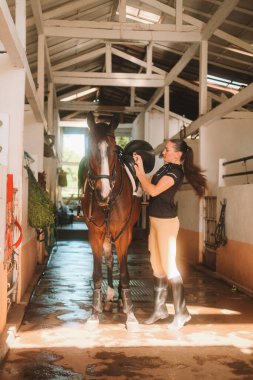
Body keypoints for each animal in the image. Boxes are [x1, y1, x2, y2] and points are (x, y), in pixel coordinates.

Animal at [80, 112, 141, 330]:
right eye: (90, 147)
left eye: (114, 149)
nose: (103, 193)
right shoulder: (95, 234)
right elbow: (98, 274)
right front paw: (94, 314)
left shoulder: (123, 234)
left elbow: (124, 273)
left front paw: (131, 315)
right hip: (106, 235)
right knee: (109, 260)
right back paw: (108, 298)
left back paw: (121, 299)